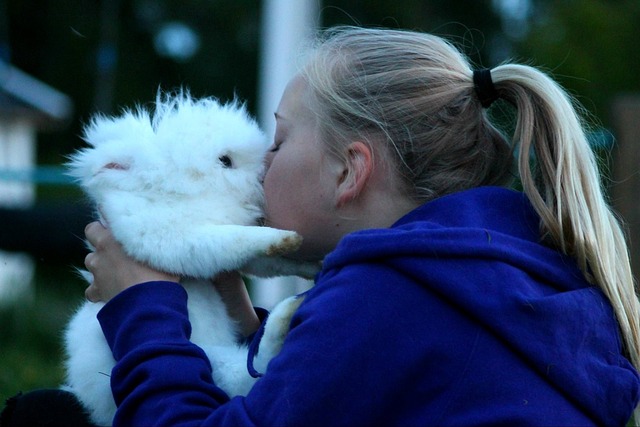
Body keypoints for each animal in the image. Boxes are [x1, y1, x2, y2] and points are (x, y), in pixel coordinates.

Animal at [62, 92, 318, 426]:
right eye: (225, 161)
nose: (263, 176)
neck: (180, 196)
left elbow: (271, 263)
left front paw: (312, 263)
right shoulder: (175, 238)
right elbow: (233, 240)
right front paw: (285, 237)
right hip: (210, 358)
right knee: (250, 374)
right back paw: (286, 315)